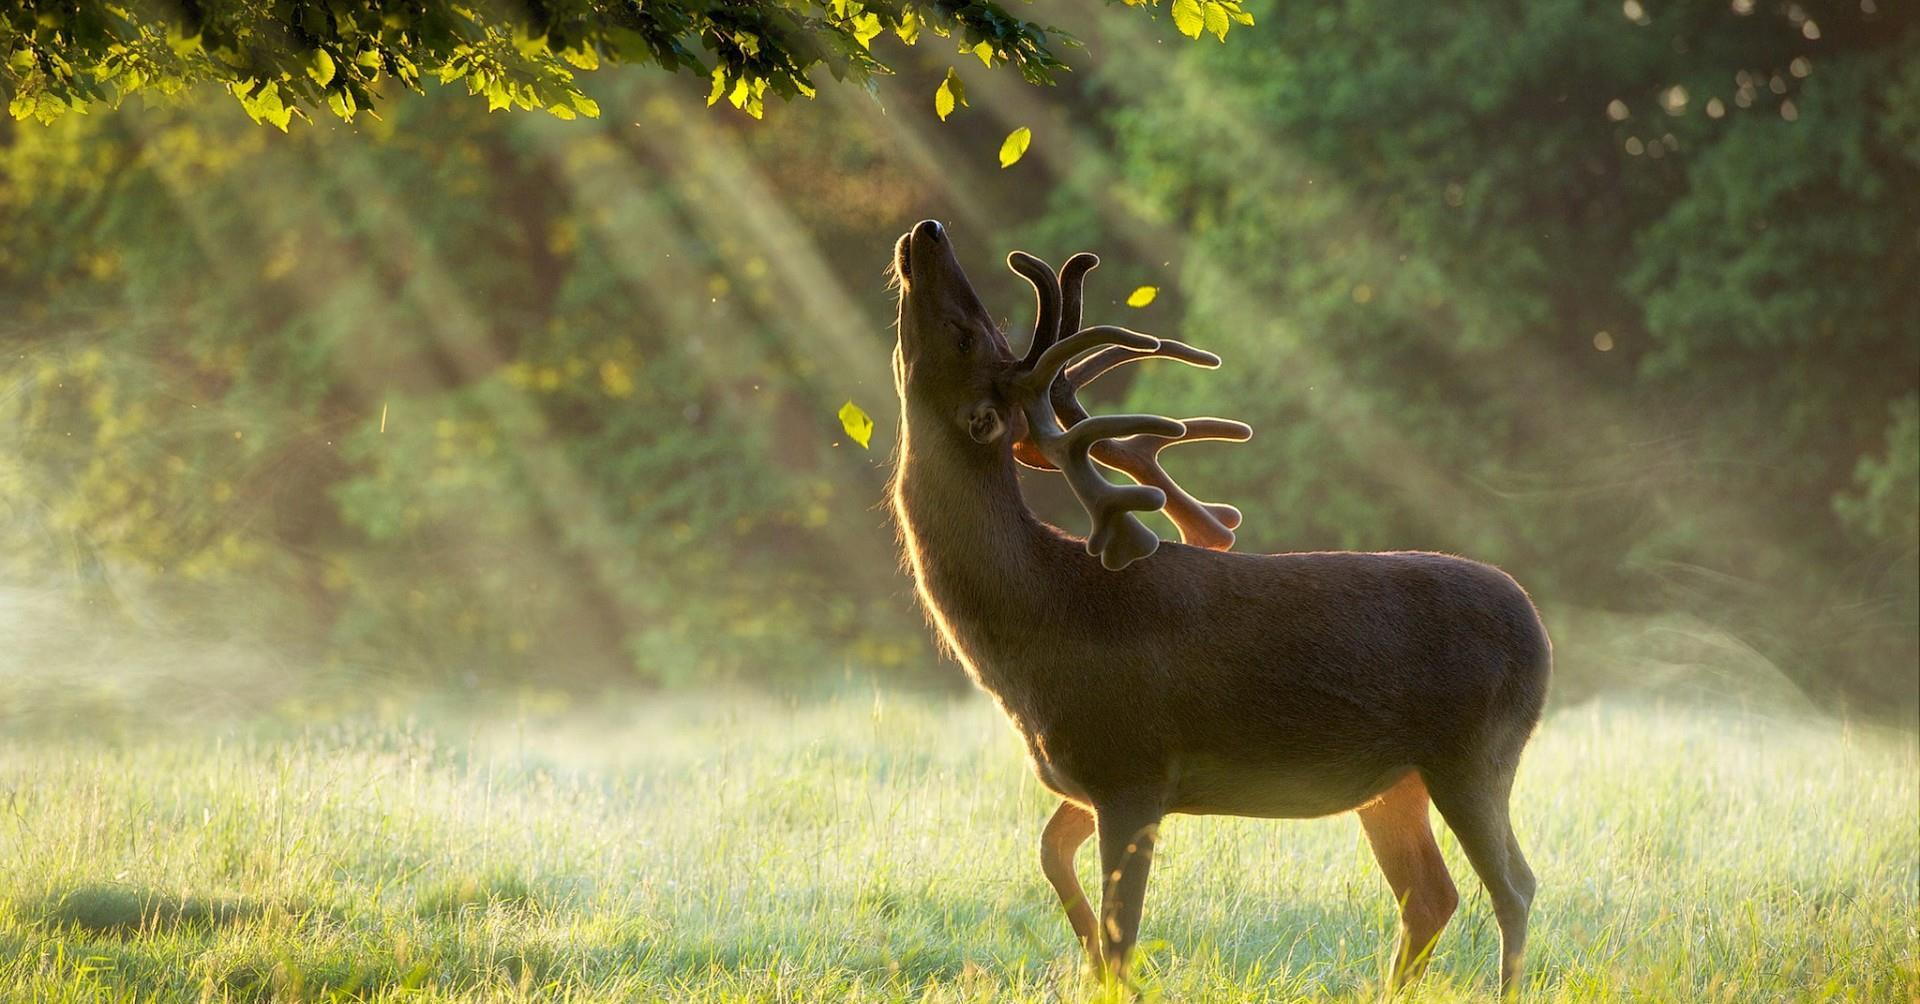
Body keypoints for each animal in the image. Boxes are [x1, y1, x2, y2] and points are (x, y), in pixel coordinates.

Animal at [890, 219, 1551, 998]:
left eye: (967, 334)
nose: (928, 231)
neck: (1036, 627)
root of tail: (1538, 631)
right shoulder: (1090, 776)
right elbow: (1052, 855)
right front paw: (1093, 963)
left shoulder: (1132, 765)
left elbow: (1122, 931)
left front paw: (1114, 973)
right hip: (1394, 784)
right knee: (1430, 894)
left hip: (1475, 751)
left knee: (1513, 885)